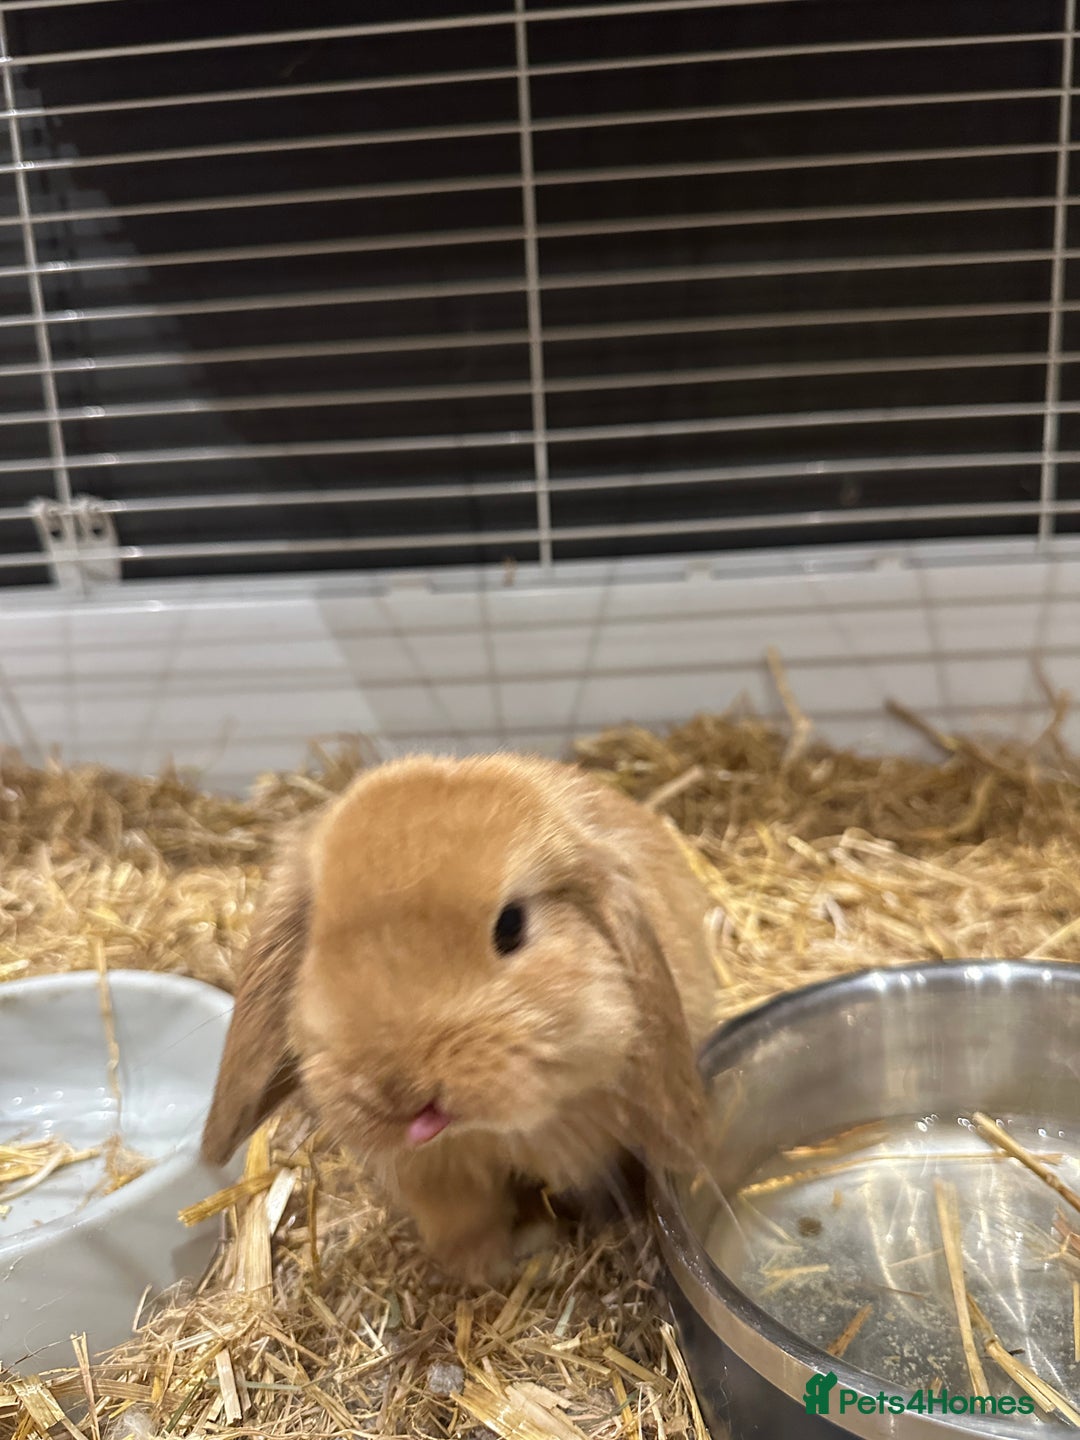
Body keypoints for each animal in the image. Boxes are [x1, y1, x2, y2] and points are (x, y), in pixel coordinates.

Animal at [201, 752, 718, 1285]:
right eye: (317, 945)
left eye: (511, 925)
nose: (401, 1090)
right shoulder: (437, 1177)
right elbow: (466, 1224)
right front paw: (492, 1266)